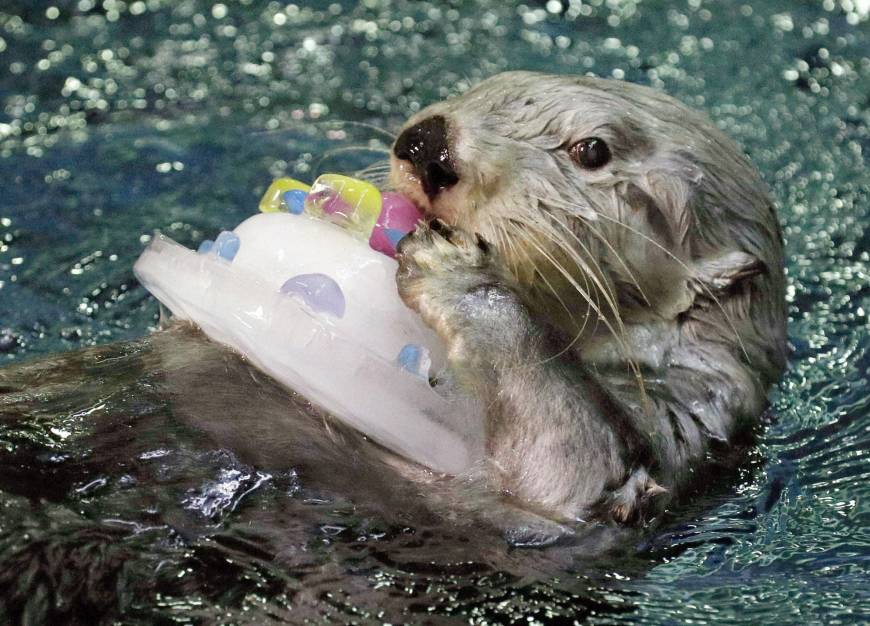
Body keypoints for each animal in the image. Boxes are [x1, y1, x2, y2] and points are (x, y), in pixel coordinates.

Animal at [389, 71, 786, 524]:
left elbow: (571, 471)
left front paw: (458, 273)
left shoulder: (688, 412)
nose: (427, 144)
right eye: (480, 89)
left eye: (592, 150)